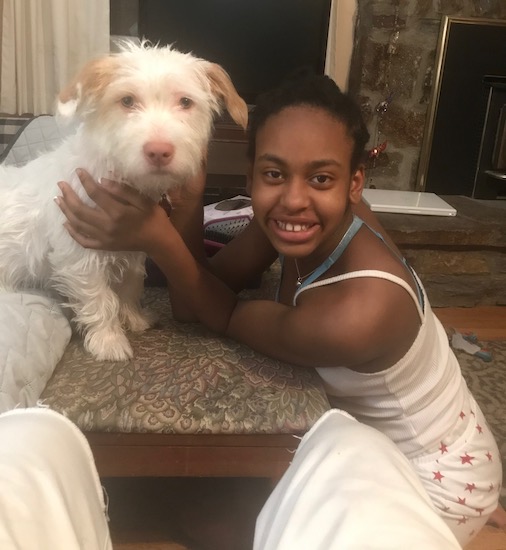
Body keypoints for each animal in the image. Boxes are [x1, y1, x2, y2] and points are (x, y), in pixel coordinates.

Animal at [0, 42, 249, 362]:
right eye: (127, 101)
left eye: (185, 102)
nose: (159, 152)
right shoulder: (79, 256)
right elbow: (100, 298)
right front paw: (109, 340)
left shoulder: (132, 249)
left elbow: (129, 287)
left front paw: (134, 319)